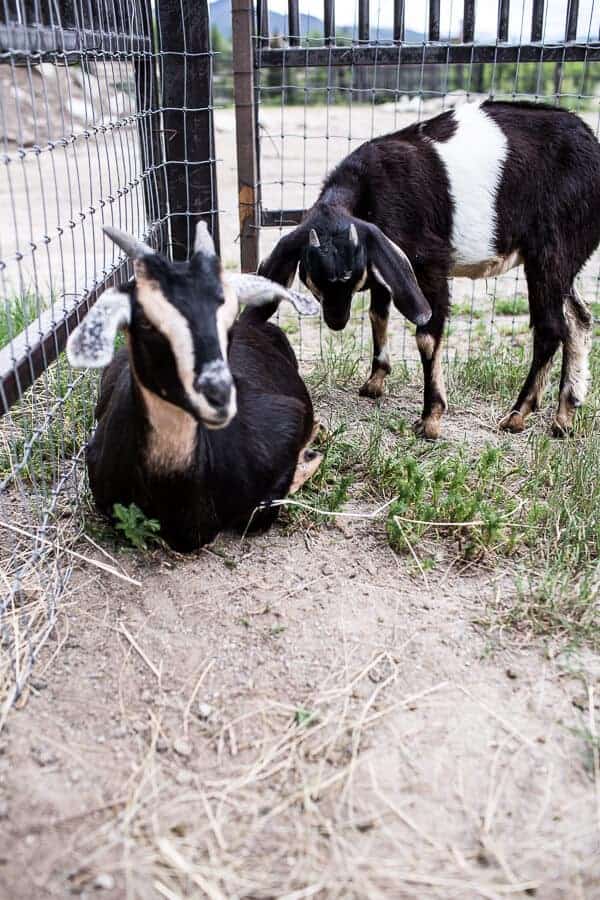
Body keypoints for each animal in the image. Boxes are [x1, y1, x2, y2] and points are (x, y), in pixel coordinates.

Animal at [67, 223, 322, 552]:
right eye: (146, 322)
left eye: (227, 320)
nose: (218, 396)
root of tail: (253, 322)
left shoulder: (287, 420)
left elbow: (258, 513)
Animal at [259, 100, 600, 438]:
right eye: (313, 278)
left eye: (351, 278)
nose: (336, 321)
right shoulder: (385, 260)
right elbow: (377, 313)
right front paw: (375, 381)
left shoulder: (430, 262)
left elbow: (426, 335)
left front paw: (430, 419)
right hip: (564, 256)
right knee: (579, 319)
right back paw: (564, 417)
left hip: (551, 250)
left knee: (551, 327)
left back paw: (517, 415)